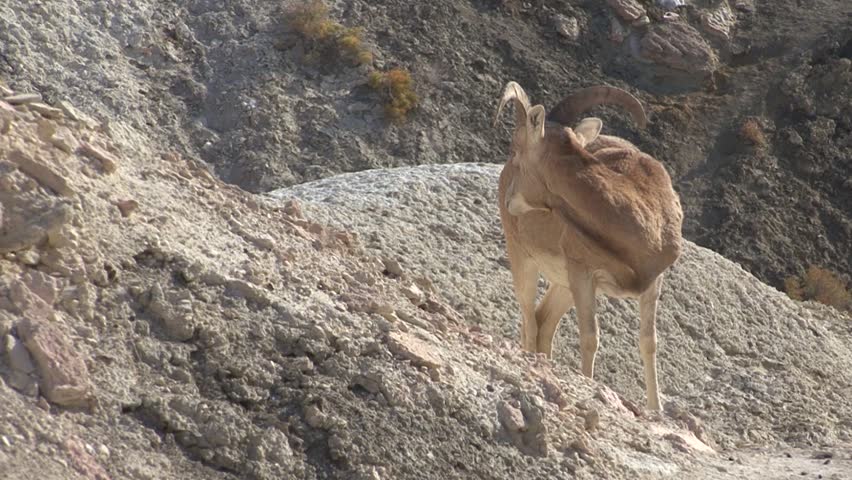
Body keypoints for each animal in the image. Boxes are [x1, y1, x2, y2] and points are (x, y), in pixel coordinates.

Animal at [493, 81, 683, 411]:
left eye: (516, 149)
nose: (509, 200)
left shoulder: (653, 282)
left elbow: (649, 343)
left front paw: (656, 410)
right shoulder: (583, 273)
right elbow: (590, 338)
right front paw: (590, 388)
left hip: (563, 285)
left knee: (543, 321)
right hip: (524, 259)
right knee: (530, 318)